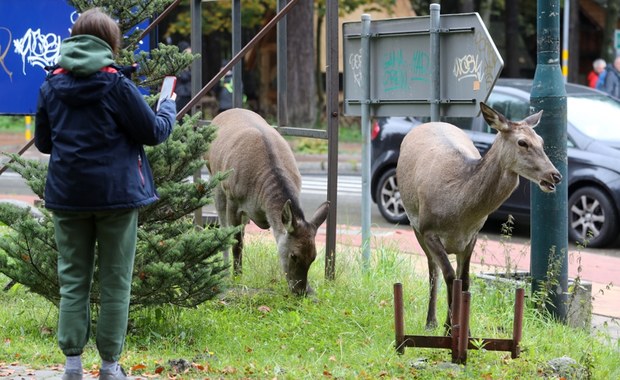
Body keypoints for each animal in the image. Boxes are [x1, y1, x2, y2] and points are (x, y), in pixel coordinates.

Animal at [206, 108, 330, 296]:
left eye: (314, 256)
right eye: (294, 255)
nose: (300, 291)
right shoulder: (233, 198)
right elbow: (236, 242)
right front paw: (237, 278)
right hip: (215, 178)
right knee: (222, 226)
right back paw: (225, 269)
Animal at [398, 102, 560, 332]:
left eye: (542, 141)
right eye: (522, 142)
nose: (555, 175)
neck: (458, 211)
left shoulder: (472, 235)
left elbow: (464, 280)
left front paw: (465, 330)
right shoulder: (429, 230)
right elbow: (449, 276)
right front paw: (450, 328)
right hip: (415, 224)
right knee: (432, 269)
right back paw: (431, 322)